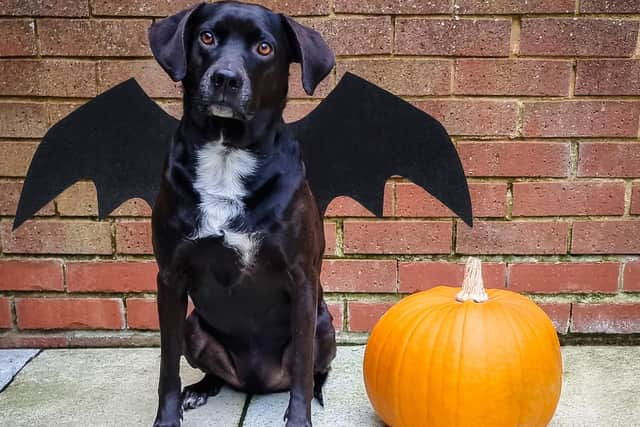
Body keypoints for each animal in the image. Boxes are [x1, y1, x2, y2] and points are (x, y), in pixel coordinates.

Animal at [148, 0, 338, 427]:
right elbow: (167, 365)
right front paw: (167, 417)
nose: (225, 79)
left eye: (264, 48)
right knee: (212, 372)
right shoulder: (169, 277)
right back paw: (199, 389)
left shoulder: (302, 278)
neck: (226, 154)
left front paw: (299, 419)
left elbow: (302, 371)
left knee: (312, 369)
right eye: (206, 37)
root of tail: (257, 382)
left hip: (323, 327)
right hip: (193, 327)